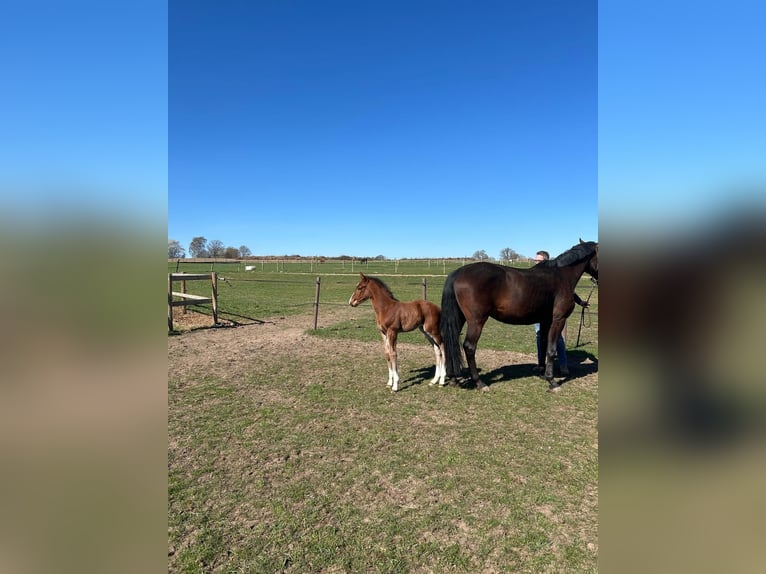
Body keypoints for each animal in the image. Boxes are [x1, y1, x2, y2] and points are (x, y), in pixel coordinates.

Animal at [440, 240, 598, 391]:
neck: (561, 276)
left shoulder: (545, 320)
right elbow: (552, 349)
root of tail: (459, 272)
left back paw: (453, 379)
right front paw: (552, 381)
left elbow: (543, 345)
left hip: (459, 318)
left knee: (451, 342)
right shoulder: (558, 320)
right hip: (476, 321)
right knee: (469, 347)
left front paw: (543, 373)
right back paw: (480, 383)